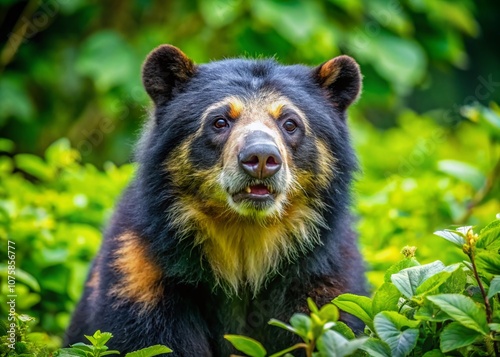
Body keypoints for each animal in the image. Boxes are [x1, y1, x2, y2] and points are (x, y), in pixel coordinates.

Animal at [64, 43, 368, 354]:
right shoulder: (140, 276)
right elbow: (151, 340)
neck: (245, 241)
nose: (261, 157)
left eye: (290, 123)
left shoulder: (324, 282)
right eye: (220, 121)